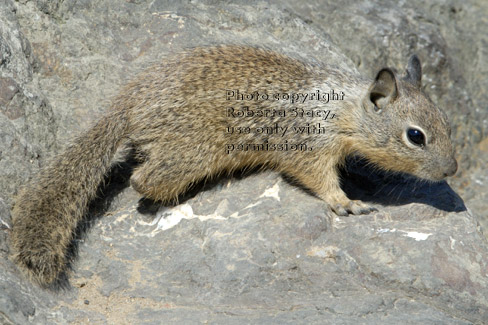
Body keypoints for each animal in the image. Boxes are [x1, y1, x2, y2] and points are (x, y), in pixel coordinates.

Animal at [8, 44, 458, 284]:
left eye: (447, 122)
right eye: (416, 136)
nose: (452, 170)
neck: (342, 109)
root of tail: (124, 105)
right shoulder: (308, 148)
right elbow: (318, 179)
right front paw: (345, 203)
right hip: (191, 154)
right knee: (141, 179)